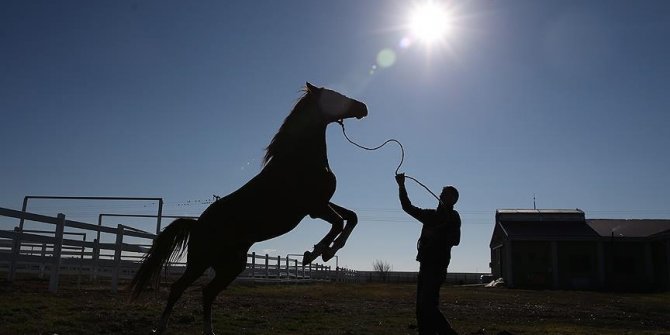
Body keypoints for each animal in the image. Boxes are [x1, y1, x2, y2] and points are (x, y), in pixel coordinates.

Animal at [129, 82, 370, 335]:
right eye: (334, 96)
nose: (363, 108)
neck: (299, 159)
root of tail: (197, 225)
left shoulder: (319, 205)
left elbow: (351, 217)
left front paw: (328, 250)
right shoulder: (314, 208)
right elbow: (339, 222)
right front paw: (316, 253)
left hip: (232, 265)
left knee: (208, 292)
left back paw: (209, 331)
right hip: (200, 262)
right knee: (178, 288)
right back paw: (161, 327)